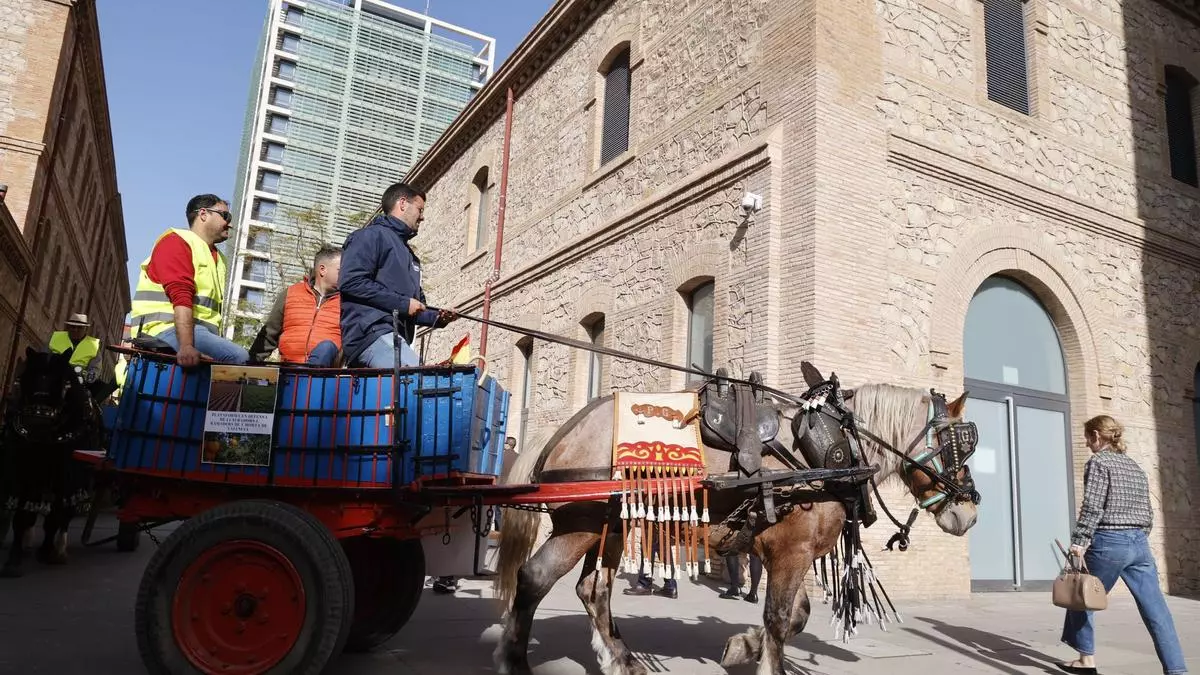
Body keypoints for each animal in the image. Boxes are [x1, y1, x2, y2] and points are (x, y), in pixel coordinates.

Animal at [0, 345, 109, 571]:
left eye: (63, 382)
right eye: (25, 378)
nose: (37, 422)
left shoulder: (67, 474)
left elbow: (56, 515)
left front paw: (46, 551)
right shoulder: (23, 467)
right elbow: (22, 513)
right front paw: (14, 559)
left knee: (66, 513)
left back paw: (58, 548)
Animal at [492, 381, 979, 667]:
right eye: (960, 445)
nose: (970, 510)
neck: (836, 450)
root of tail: (562, 431)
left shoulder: (788, 552)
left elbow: (797, 615)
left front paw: (743, 646)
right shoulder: (791, 551)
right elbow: (780, 620)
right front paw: (763, 655)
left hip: (610, 526)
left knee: (593, 590)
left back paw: (621, 658)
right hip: (581, 524)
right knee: (535, 578)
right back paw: (515, 660)